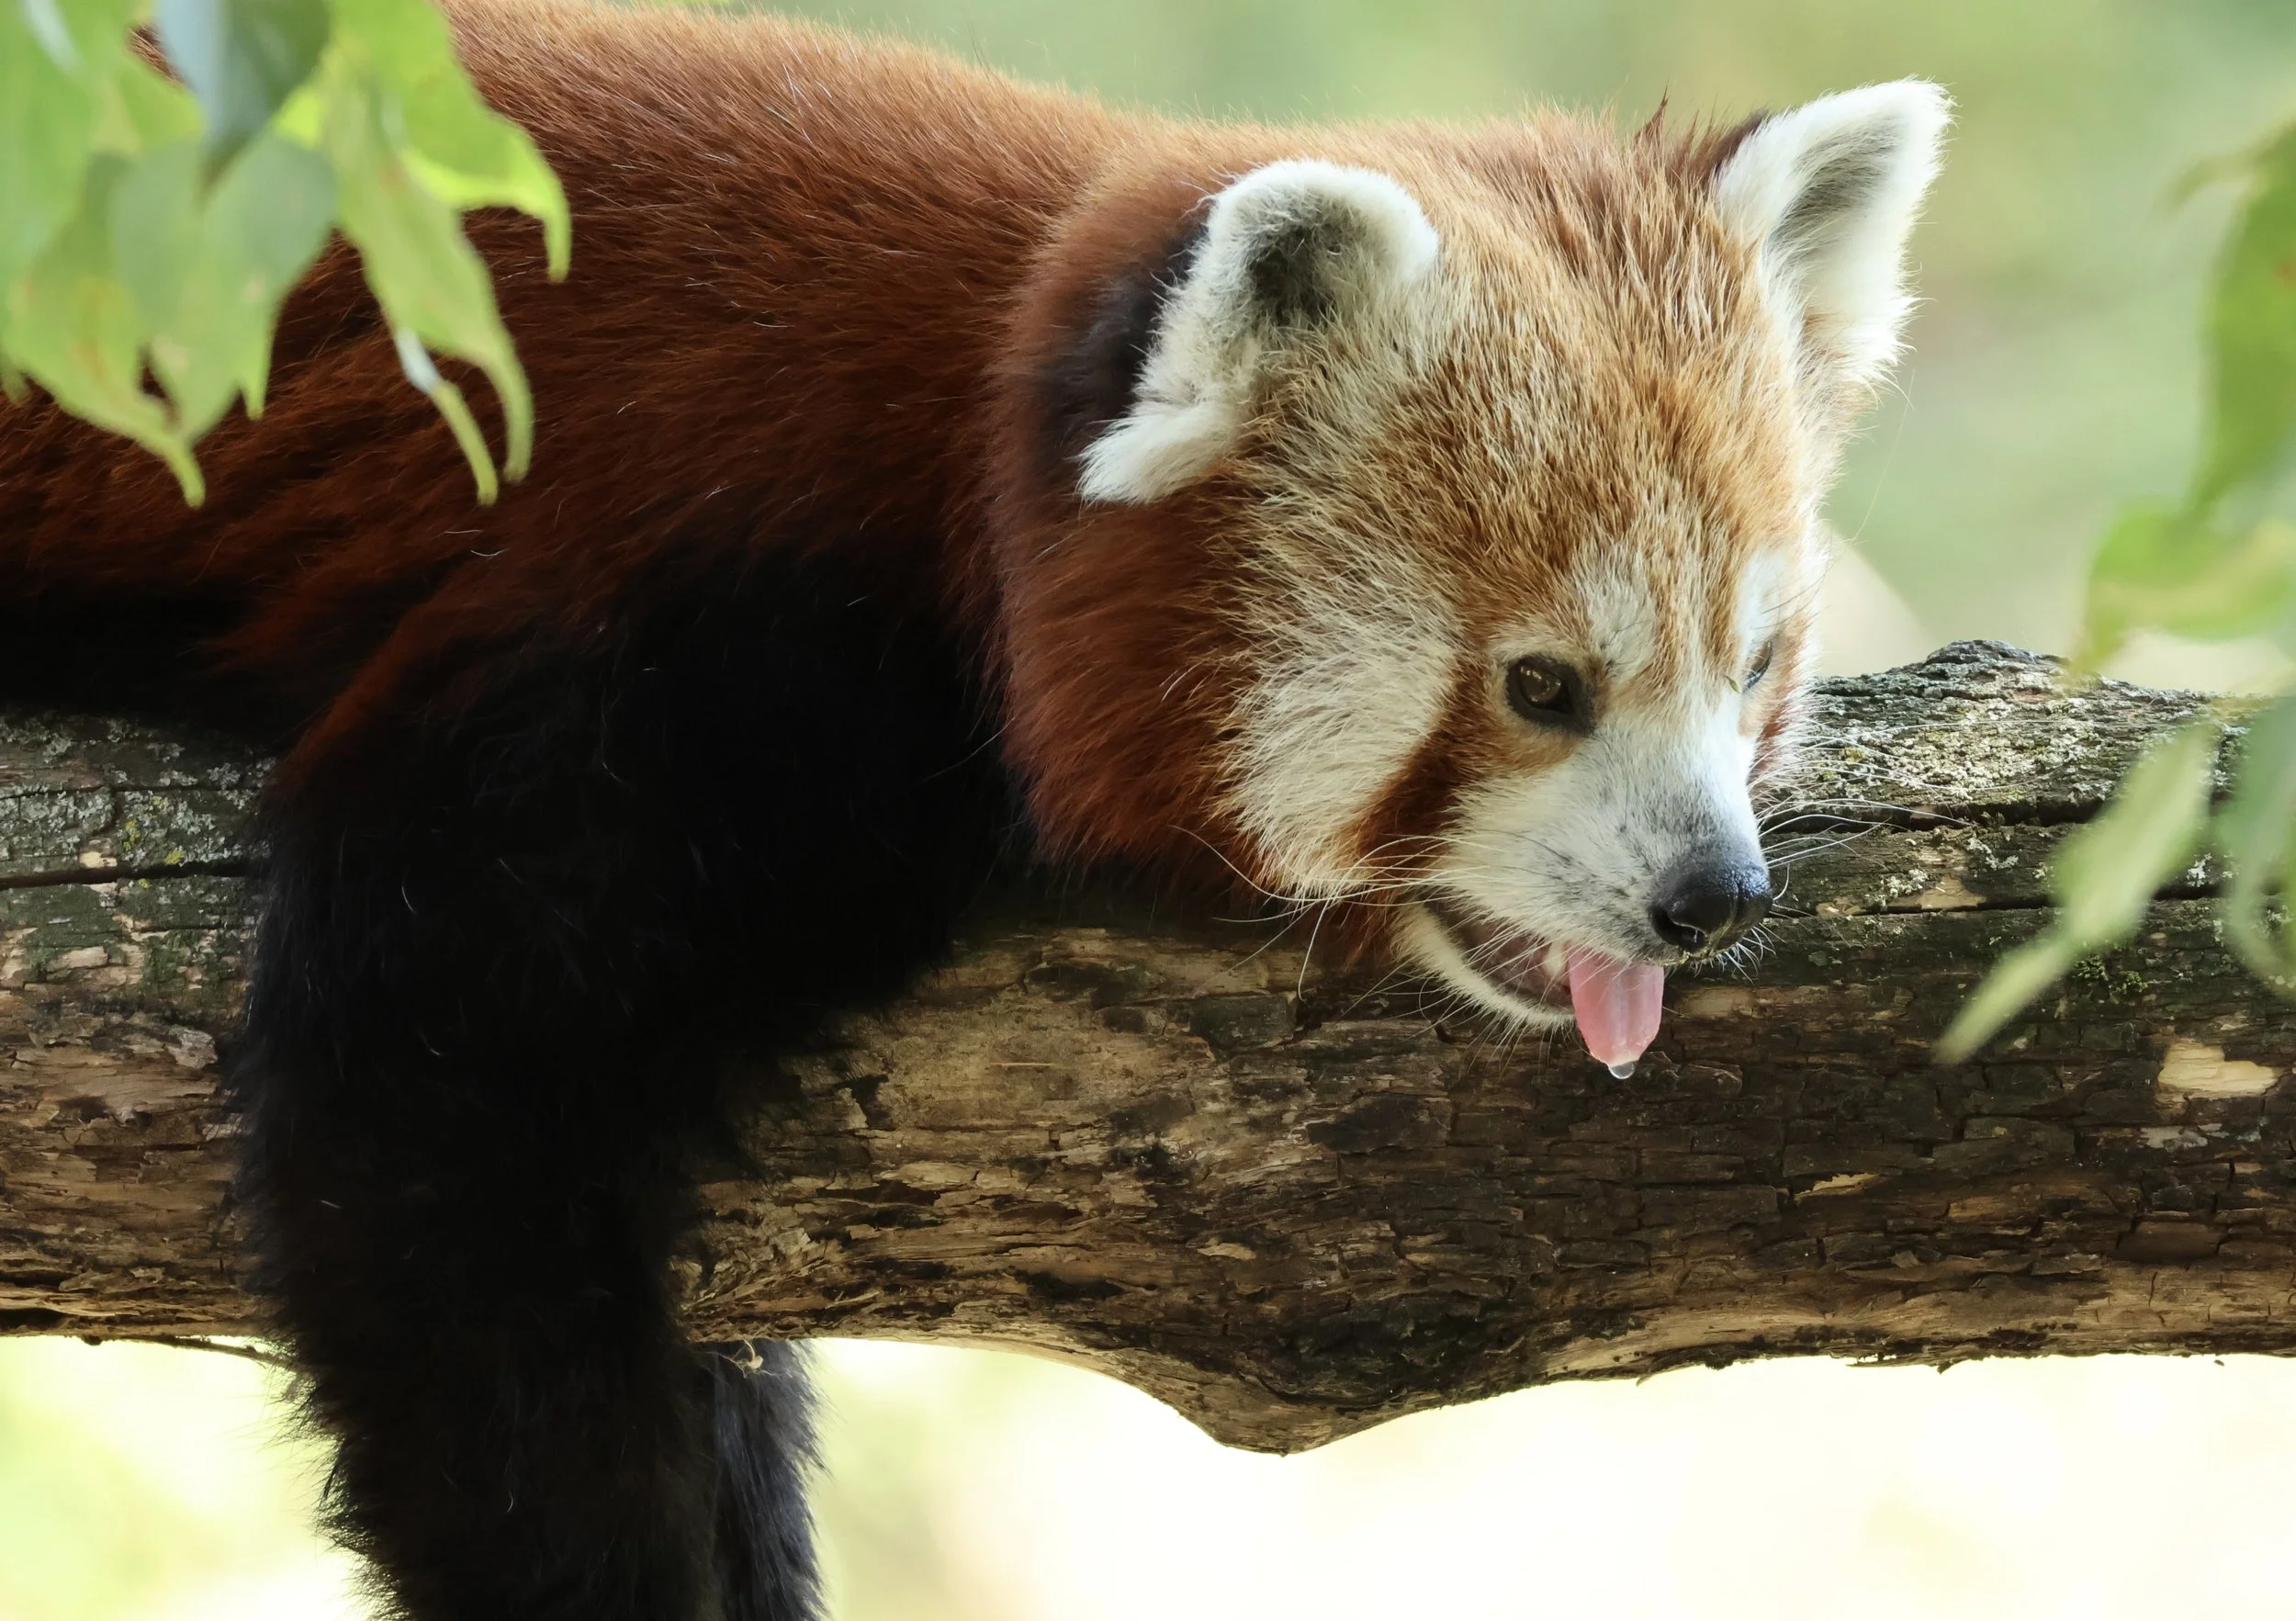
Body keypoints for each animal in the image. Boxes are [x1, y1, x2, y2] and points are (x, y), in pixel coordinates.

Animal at [0, 1, 1946, 1615]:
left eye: (1753, 664)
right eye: (1542, 688)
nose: (1712, 896)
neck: (968, 450)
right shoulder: (672, 604)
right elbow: (427, 1128)